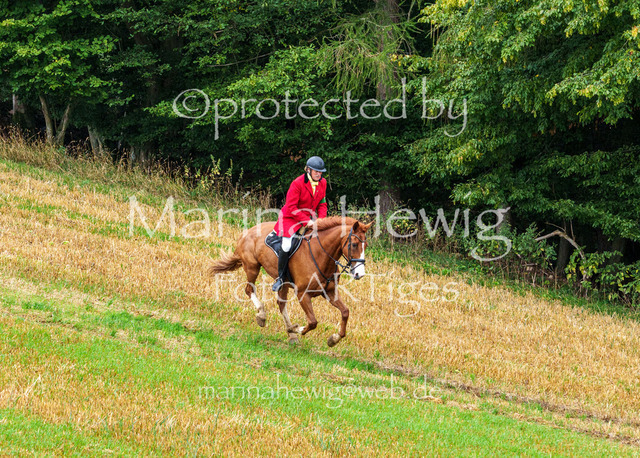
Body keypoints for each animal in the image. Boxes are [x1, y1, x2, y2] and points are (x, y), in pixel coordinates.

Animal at [209, 216, 372, 346]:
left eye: (366, 245)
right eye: (354, 244)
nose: (359, 274)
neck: (321, 255)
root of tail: (247, 232)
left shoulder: (330, 292)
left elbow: (345, 312)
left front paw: (334, 339)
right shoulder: (302, 294)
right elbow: (312, 322)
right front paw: (296, 328)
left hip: (283, 282)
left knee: (281, 304)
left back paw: (291, 336)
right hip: (252, 267)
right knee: (249, 290)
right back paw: (262, 316)